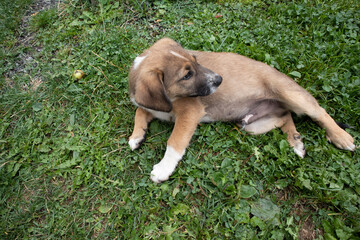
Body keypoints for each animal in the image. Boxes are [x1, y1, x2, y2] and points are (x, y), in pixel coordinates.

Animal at [129, 38, 354, 183]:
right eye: (187, 75)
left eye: (195, 60)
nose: (219, 80)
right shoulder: (150, 105)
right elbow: (140, 111)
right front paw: (136, 136)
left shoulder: (190, 114)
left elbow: (174, 141)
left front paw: (163, 168)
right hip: (253, 125)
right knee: (285, 116)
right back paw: (296, 141)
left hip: (291, 94)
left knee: (319, 112)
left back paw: (341, 137)